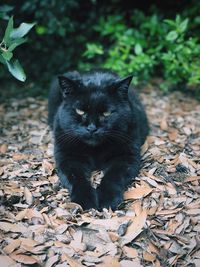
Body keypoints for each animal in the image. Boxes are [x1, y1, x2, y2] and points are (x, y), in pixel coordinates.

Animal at [48, 69, 148, 211]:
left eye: (106, 113)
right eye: (80, 111)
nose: (92, 128)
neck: (95, 150)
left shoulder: (125, 157)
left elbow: (113, 177)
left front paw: (108, 199)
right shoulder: (68, 158)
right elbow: (77, 179)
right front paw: (85, 200)